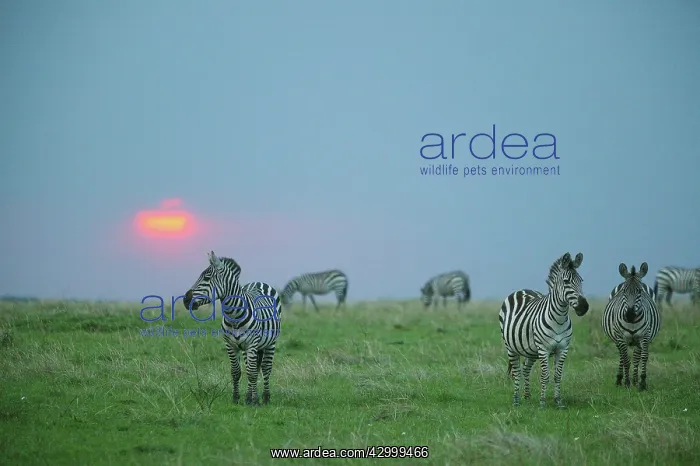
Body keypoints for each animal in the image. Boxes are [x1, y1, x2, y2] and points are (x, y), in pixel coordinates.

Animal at [183, 251, 282, 405]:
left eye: (206, 278)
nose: (185, 300)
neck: (234, 315)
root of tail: (259, 282)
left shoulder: (251, 344)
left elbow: (252, 373)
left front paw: (255, 401)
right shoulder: (230, 344)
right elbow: (236, 372)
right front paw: (237, 398)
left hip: (270, 342)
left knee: (265, 368)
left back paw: (265, 398)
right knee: (251, 367)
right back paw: (248, 397)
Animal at [498, 252, 589, 409]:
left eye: (581, 280)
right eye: (566, 281)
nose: (584, 307)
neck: (559, 318)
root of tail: (521, 290)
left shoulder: (563, 349)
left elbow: (557, 376)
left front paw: (558, 401)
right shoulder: (544, 349)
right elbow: (544, 376)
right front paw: (542, 403)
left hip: (531, 350)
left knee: (525, 369)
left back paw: (527, 397)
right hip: (511, 347)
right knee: (517, 371)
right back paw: (516, 400)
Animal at [602, 262, 660, 391]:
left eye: (640, 291)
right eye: (624, 291)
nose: (629, 315)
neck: (632, 322)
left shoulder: (644, 336)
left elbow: (643, 357)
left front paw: (642, 383)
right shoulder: (621, 337)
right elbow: (625, 359)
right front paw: (627, 383)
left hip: (638, 340)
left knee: (636, 357)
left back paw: (635, 380)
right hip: (617, 339)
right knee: (621, 356)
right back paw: (620, 379)